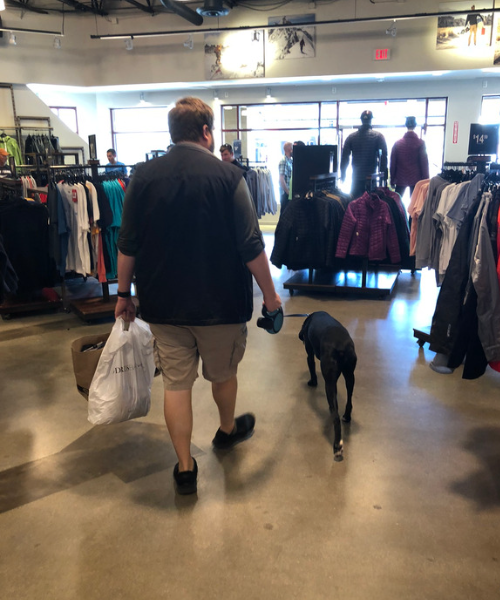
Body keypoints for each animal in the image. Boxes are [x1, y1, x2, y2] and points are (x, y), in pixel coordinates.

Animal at [298, 312, 358, 462]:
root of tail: (342, 347)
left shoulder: (309, 353)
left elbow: (311, 367)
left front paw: (312, 382)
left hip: (330, 383)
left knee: (335, 417)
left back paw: (337, 447)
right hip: (350, 376)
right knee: (349, 401)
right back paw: (347, 416)